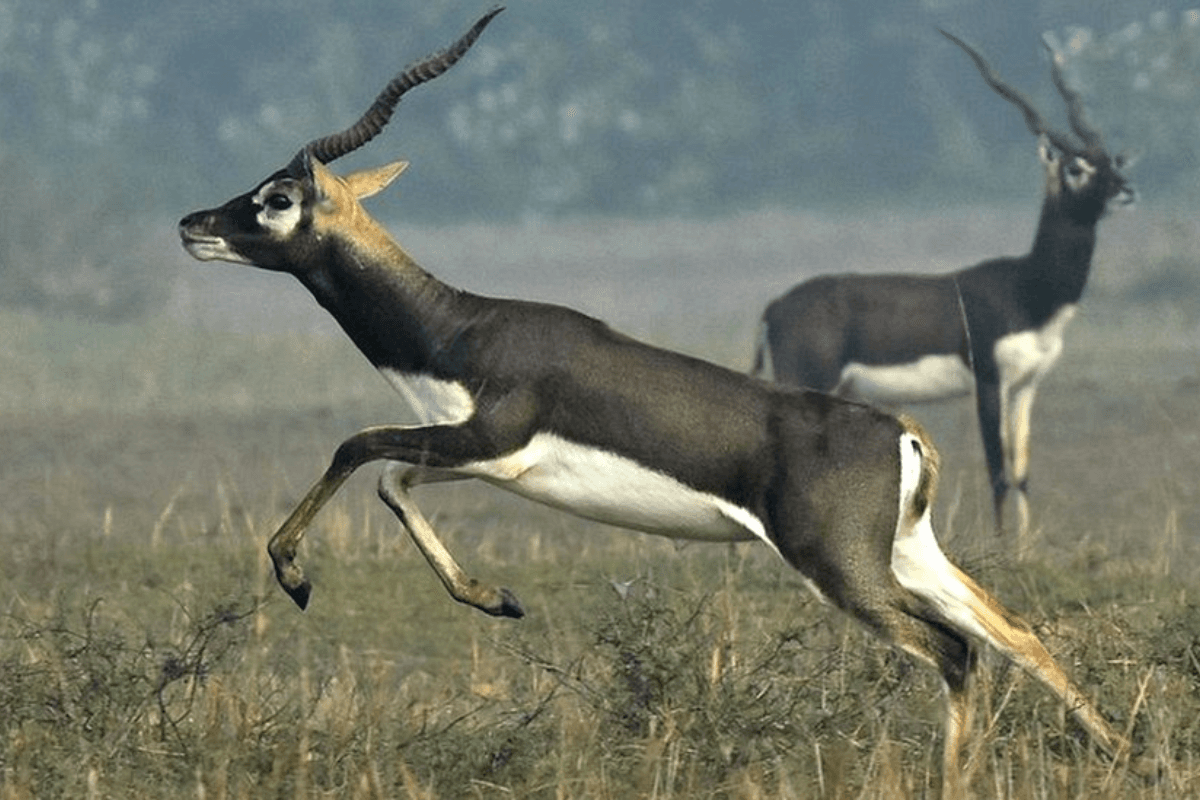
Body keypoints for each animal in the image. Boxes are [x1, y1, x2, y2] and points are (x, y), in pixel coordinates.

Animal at [752, 30, 1134, 546]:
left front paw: (1024, 545)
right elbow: (997, 468)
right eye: (1076, 167)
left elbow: (1022, 470)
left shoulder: (1027, 385)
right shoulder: (990, 381)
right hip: (807, 380)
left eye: (1107, 159)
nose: (1126, 189)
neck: (1026, 291)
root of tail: (775, 305)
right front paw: (1002, 546)